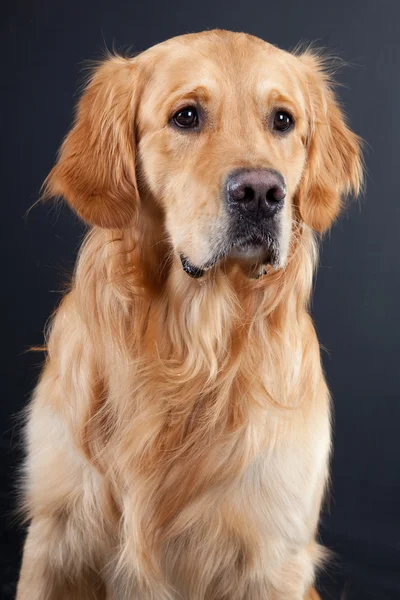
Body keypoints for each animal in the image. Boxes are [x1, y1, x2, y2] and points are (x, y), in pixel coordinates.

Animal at [16, 30, 362, 596]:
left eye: (283, 120)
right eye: (186, 116)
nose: (262, 192)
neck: (194, 347)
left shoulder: (275, 554)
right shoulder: (55, 532)